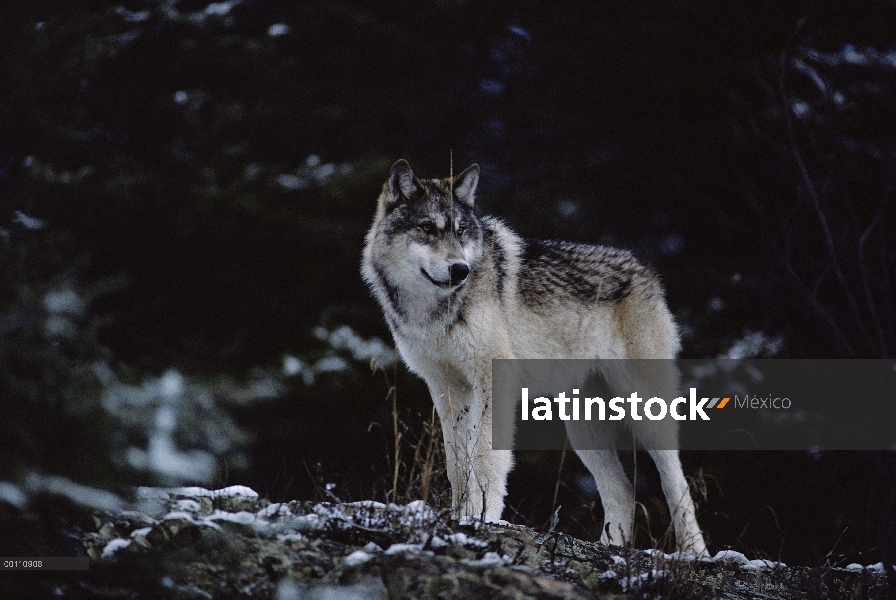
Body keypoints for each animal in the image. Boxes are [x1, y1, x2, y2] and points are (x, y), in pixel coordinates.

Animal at [362, 161, 708, 556]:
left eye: (461, 231)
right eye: (427, 228)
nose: (460, 270)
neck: (433, 311)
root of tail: (645, 271)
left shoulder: (493, 378)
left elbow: (485, 458)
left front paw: (482, 517)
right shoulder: (445, 388)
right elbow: (456, 464)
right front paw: (460, 514)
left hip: (645, 411)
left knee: (675, 482)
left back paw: (695, 554)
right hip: (582, 429)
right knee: (624, 489)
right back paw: (608, 549)